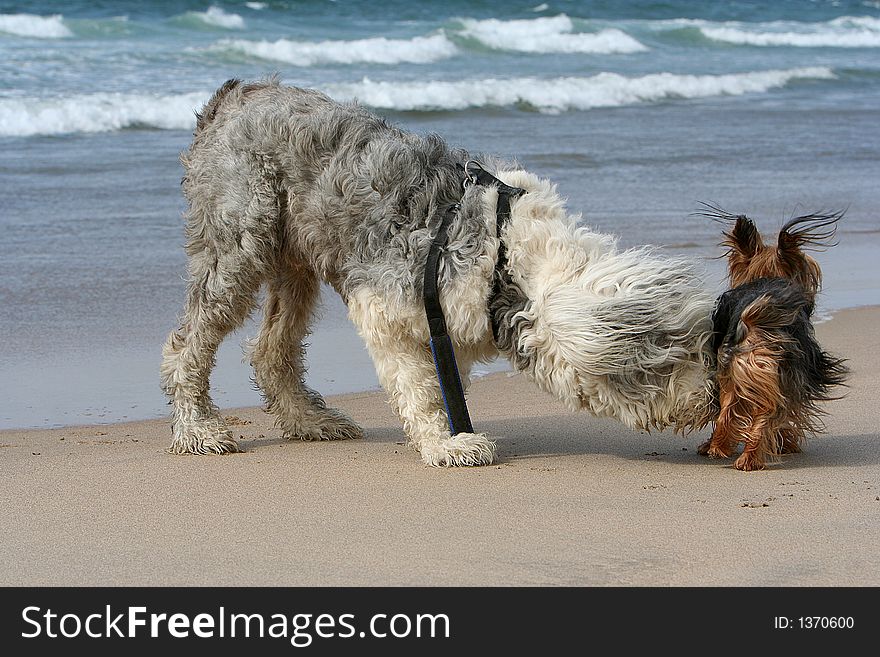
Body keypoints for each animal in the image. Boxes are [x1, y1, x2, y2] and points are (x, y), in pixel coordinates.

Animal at [162, 78, 720, 466]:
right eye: (669, 362)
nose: (712, 404)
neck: (507, 259)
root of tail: (235, 95)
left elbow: (445, 380)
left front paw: (452, 430)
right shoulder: (384, 308)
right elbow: (419, 387)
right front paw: (444, 443)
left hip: (296, 263)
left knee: (270, 350)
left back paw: (310, 420)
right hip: (238, 247)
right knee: (186, 346)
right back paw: (198, 430)